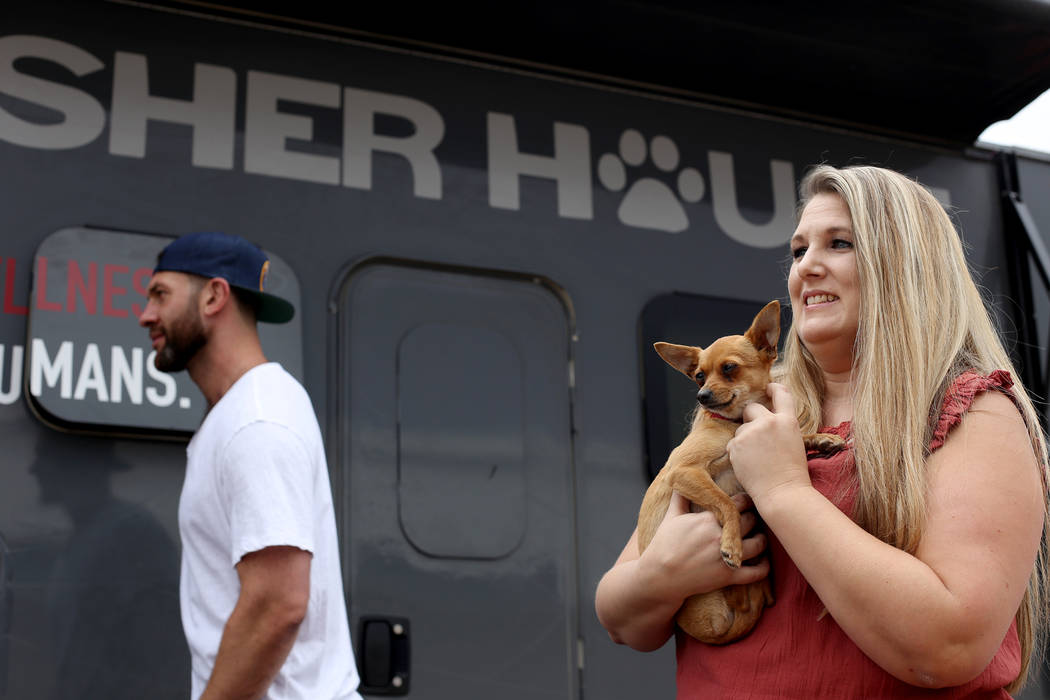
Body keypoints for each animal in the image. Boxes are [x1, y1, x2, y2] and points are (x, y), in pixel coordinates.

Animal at [634, 298, 839, 642]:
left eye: (729, 368)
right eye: (699, 376)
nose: (702, 396)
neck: (735, 423)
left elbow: (798, 434)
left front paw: (821, 438)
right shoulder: (684, 471)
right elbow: (726, 502)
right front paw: (731, 545)